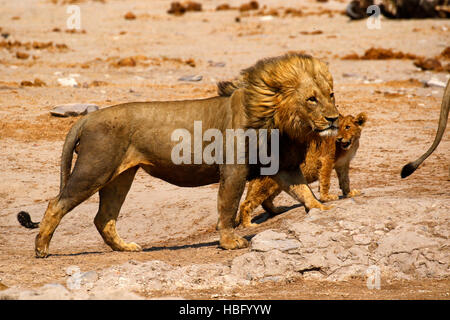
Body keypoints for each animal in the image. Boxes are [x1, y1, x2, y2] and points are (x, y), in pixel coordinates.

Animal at [18, 53, 338, 258]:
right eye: (312, 99)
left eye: (331, 95)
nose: (334, 118)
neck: (278, 120)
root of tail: (87, 118)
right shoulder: (233, 169)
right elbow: (228, 206)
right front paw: (230, 242)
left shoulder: (284, 166)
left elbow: (303, 190)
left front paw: (322, 209)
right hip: (94, 169)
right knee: (56, 203)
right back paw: (41, 249)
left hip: (120, 177)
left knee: (103, 217)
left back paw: (126, 248)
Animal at [237, 112, 368, 228]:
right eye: (338, 128)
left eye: (347, 127)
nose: (339, 139)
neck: (349, 146)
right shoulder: (326, 160)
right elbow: (325, 181)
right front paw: (327, 197)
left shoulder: (343, 164)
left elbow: (345, 181)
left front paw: (349, 193)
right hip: (266, 184)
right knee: (246, 204)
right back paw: (249, 225)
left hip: (278, 183)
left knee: (266, 202)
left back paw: (278, 210)